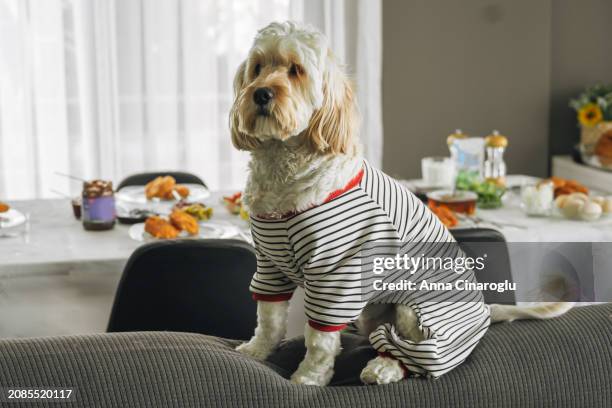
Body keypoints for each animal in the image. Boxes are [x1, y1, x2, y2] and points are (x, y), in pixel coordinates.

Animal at [231, 21, 572, 386]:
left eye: (296, 70)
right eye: (257, 68)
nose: (260, 94)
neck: (283, 172)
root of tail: (482, 314)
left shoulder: (337, 275)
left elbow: (320, 339)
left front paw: (308, 378)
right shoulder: (270, 264)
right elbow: (269, 318)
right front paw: (257, 351)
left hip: (417, 305)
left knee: (417, 354)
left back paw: (384, 367)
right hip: (373, 312)